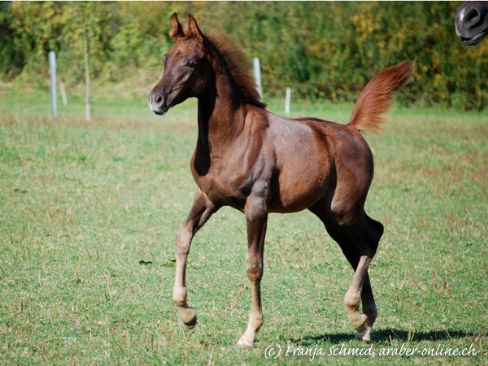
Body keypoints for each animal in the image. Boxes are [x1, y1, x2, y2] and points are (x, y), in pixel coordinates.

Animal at [148, 12, 412, 348]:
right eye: (166, 58)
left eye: (192, 62)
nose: (156, 100)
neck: (234, 135)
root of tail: (353, 129)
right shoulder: (207, 198)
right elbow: (183, 238)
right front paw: (187, 315)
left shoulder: (256, 207)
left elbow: (254, 266)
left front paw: (249, 332)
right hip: (328, 215)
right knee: (354, 248)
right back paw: (364, 324)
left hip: (344, 208)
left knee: (373, 235)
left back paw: (357, 314)